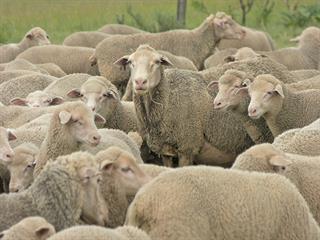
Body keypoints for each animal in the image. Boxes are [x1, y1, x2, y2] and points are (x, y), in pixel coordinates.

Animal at [114, 46, 252, 168]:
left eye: (157, 62)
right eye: (130, 62)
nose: (140, 82)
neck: (168, 99)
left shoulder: (187, 147)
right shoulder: (165, 151)